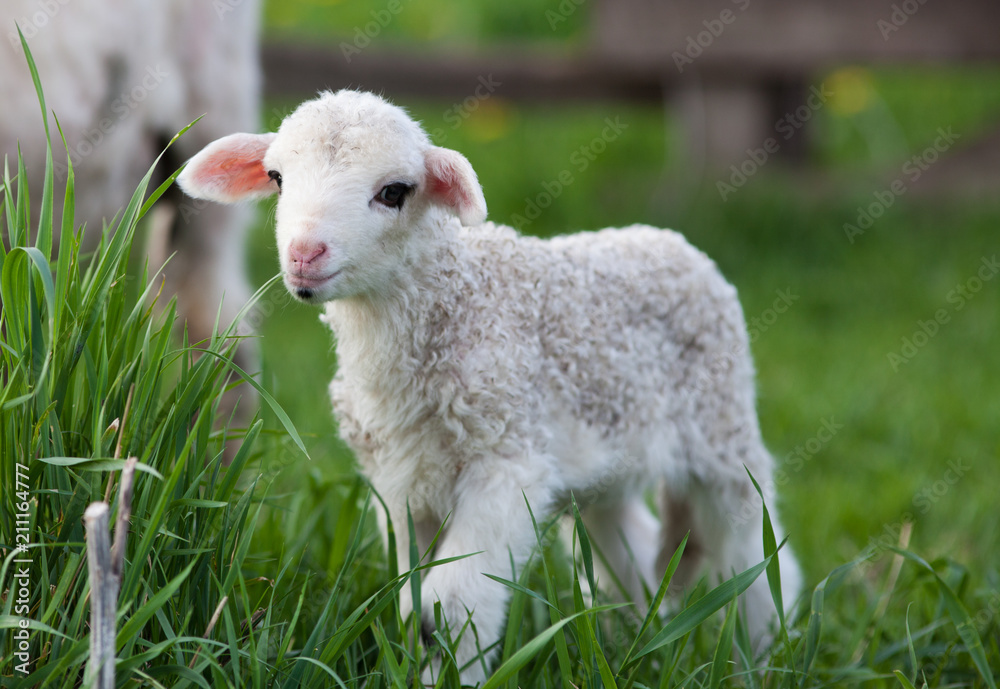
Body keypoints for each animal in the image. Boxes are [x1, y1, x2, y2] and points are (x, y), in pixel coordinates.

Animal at [177, 89, 804, 684]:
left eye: (394, 192)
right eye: (278, 178)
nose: (305, 254)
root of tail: (671, 241)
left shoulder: (507, 464)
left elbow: (451, 606)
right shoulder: (398, 481)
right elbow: (413, 606)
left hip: (722, 429)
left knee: (753, 552)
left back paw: (764, 655)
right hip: (608, 456)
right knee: (627, 544)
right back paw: (634, 645)